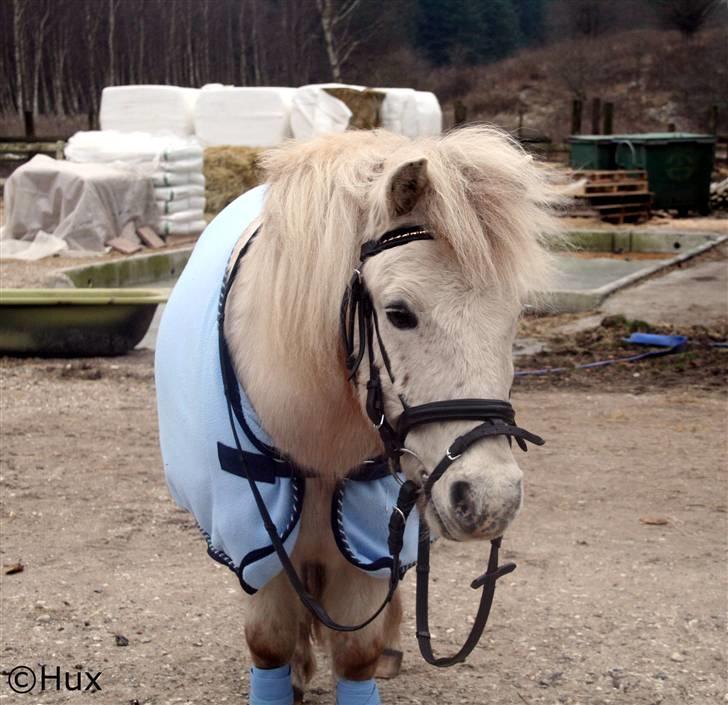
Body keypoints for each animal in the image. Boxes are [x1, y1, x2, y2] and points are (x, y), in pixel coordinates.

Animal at [158, 126, 556, 704]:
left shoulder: (367, 543)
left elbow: (356, 653)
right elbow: (270, 642)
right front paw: (289, 673)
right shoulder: (255, 541)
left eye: (516, 314)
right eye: (398, 313)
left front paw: (373, 653)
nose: (491, 500)